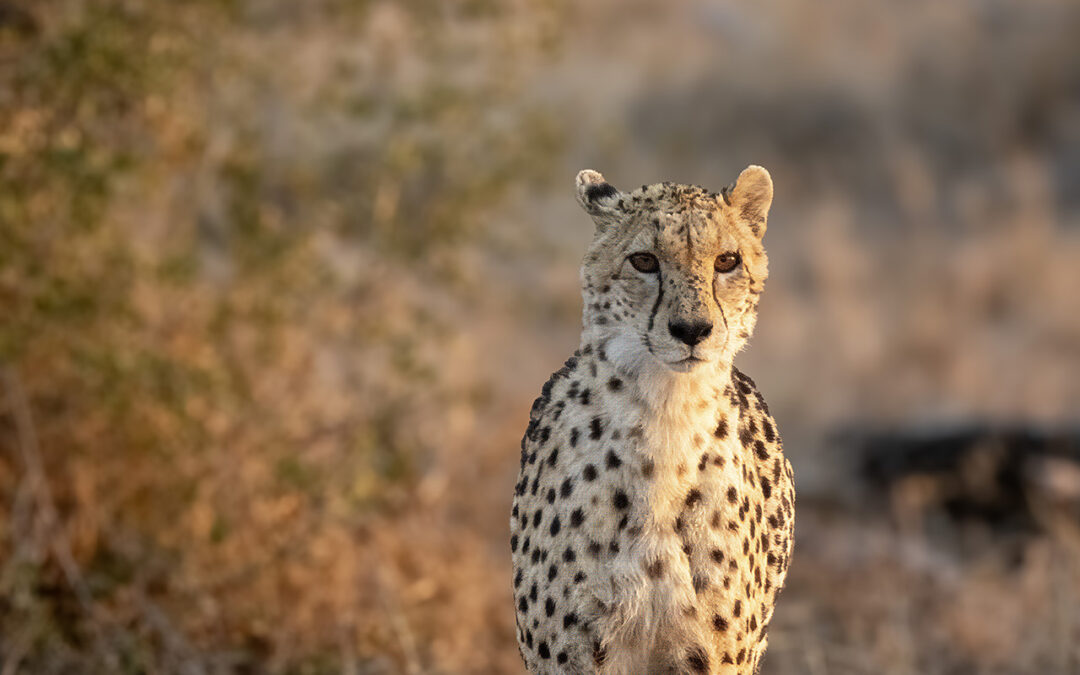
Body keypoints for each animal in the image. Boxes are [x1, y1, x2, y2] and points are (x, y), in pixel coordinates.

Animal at [510, 166, 795, 675]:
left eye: (727, 261)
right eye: (644, 261)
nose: (691, 330)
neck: (666, 413)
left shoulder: (717, 657)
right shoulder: (567, 656)